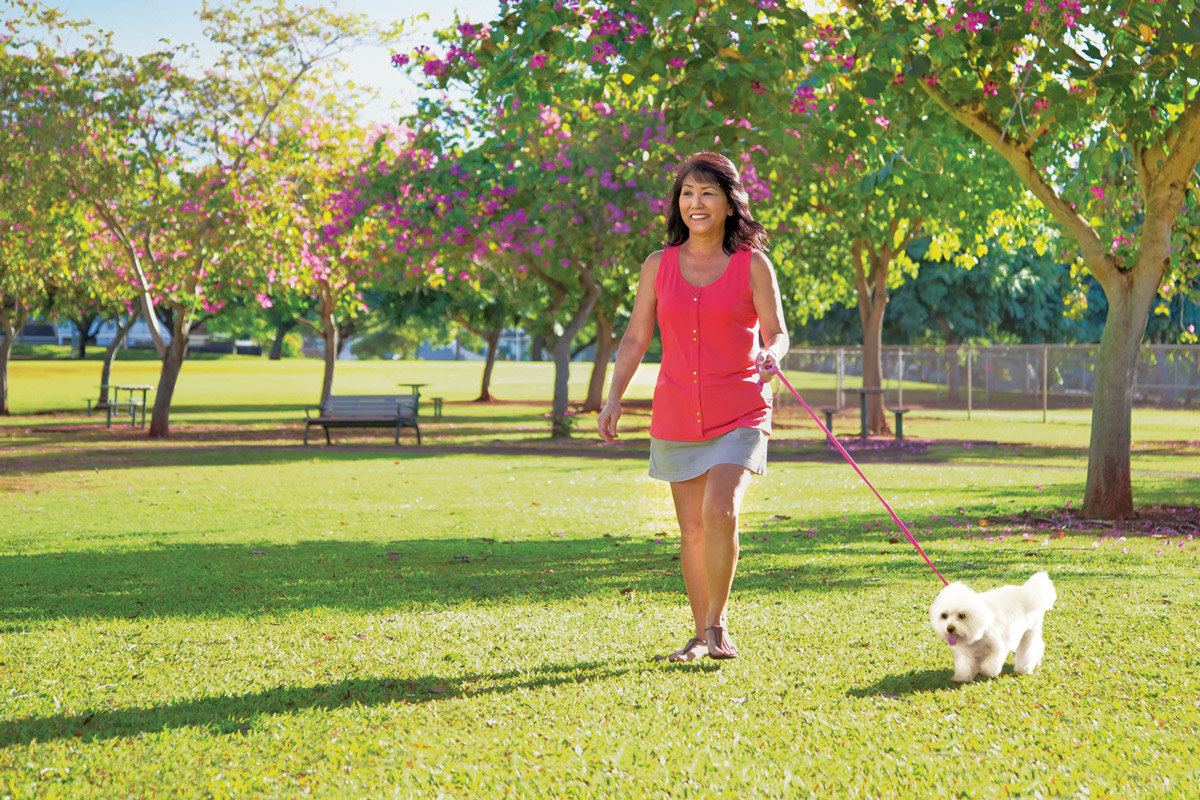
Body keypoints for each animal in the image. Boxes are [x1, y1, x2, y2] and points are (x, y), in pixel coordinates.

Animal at [926, 568, 1060, 681]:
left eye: (962, 616)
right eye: (944, 616)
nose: (950, 628)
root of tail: (1028, 592)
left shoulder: (997, 647)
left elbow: (990, 664)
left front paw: (985, 671)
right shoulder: (965, 653)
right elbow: (965, 666)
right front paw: (962, 677)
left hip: (1029, 633)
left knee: (1028, 650)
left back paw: (1024, 668)